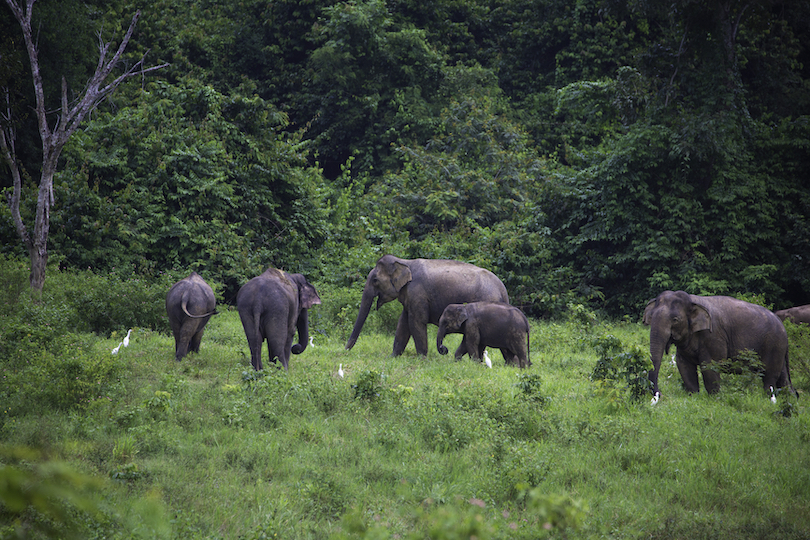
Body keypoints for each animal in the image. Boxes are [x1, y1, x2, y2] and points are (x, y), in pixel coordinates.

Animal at [342, 254, 504, 356]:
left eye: (375, 280)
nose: (345, 350)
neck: (404, 262)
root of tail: (503, 289)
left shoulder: (417, 293)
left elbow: (416, 322)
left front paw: (422, 358)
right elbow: (403, 323)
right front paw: (392, 357)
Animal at [640, 292, 792, 400]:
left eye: (675, 319)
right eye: (651, 317)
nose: (659, 394)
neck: (692, 300)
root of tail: (784, 328)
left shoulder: (713, 335)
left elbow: (710, 365)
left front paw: (714, 400)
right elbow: (684, 365)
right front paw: (693, 397)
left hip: (773, 345)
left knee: (769, 375)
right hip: (778, 348)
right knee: (782, 377)